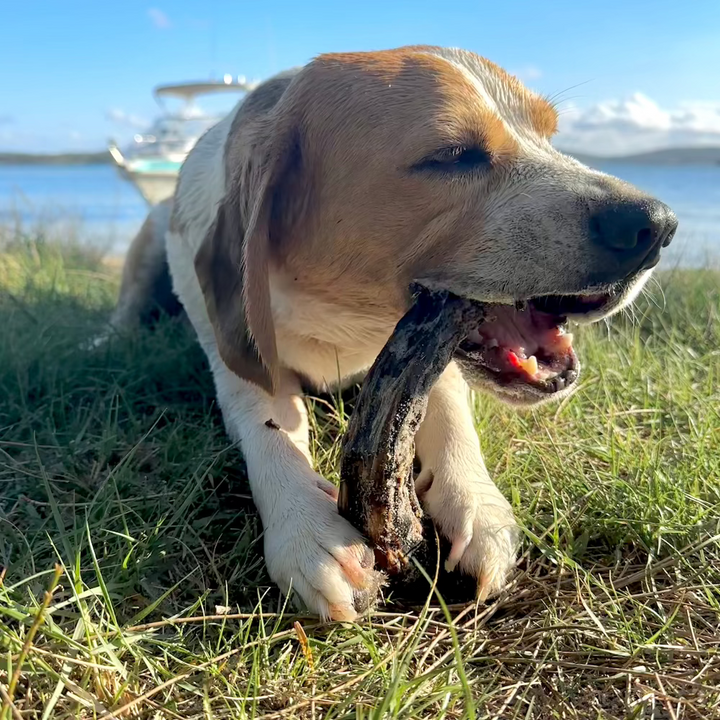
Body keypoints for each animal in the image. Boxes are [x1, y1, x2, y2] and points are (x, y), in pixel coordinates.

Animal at [107, 46, 676, 620]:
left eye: (551, 136)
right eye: (452, 155)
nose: (658, 226)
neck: (342, 321)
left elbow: (451, 415)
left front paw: (476, 502)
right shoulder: (239, 360)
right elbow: (269, 427)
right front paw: (304, 525)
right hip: (151, 237)